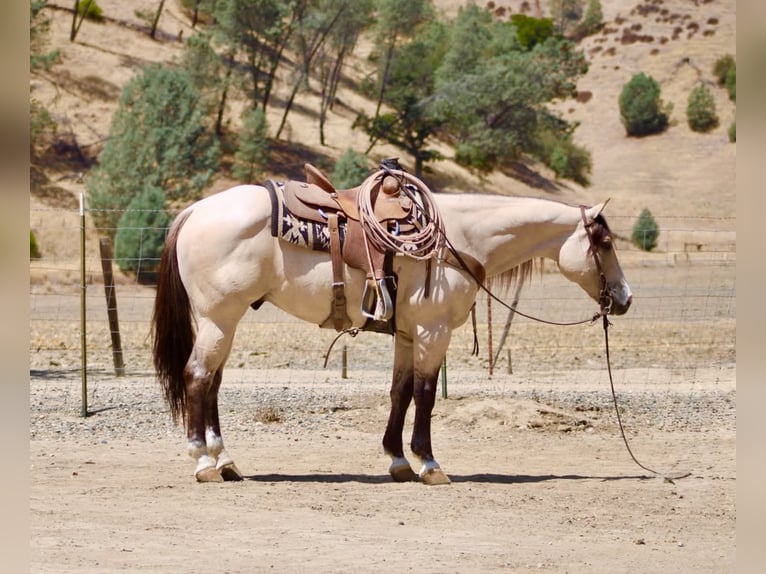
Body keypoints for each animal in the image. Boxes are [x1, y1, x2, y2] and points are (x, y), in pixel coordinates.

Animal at [151, 171, 632, 485]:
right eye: (605, 243)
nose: (625, 298)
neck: (459, 239)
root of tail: (194, 211)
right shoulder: (433, 333)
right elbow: (425, 394)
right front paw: (429, 464)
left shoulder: (407, 333)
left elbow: (400, 392)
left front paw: (398, 461)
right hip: (218, 318)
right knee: (197, 377)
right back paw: (203, 463)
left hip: (224, 321)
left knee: (212, 383)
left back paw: (226, 462)